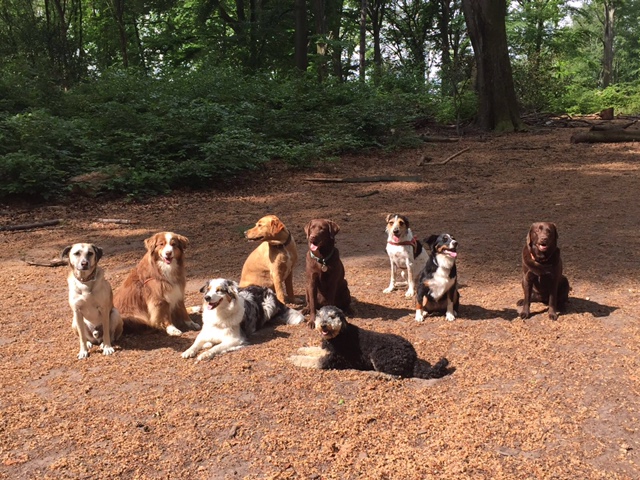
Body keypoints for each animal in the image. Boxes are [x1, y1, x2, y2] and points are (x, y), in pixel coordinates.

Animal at [290, 306, 450, 380]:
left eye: (332, 317)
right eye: (320, 316)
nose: (323, 325)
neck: (340, 334)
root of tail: (413, 356)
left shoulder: (334, 359)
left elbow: (312, 360)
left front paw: (294, 358)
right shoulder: (326, 349)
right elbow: (313, 350)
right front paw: (301, 350)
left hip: (379, 355)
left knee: (398, 375)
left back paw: (379, 375)